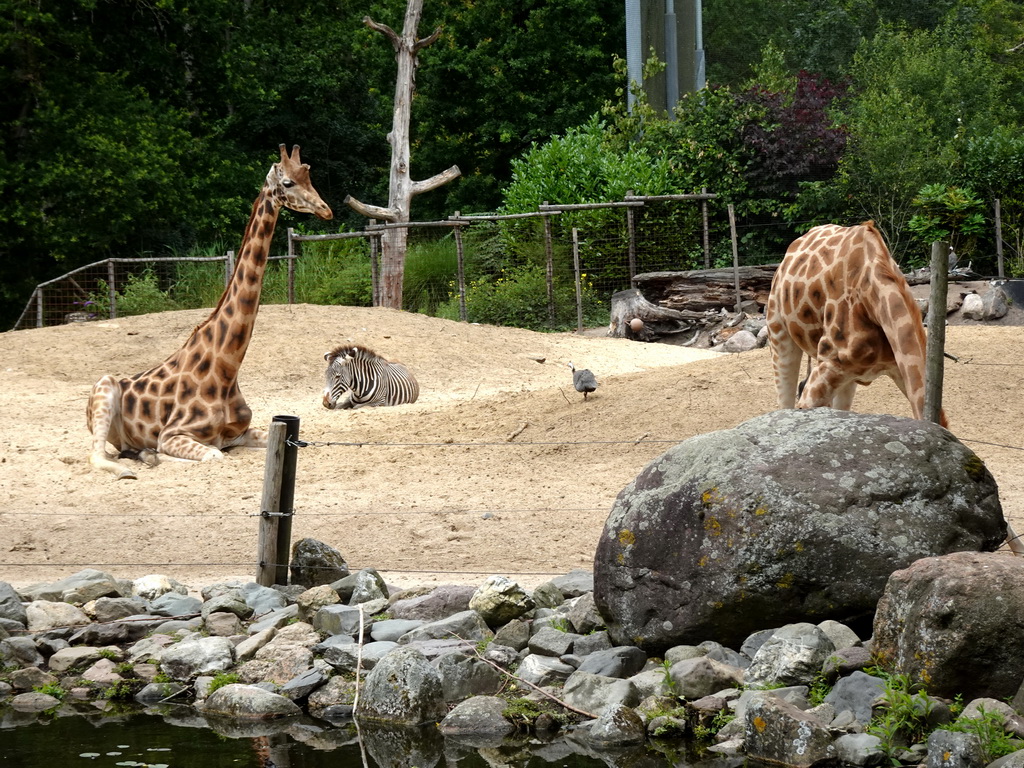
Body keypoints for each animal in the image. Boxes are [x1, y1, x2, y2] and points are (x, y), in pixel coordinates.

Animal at [86, 144, 331, 479]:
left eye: (310, 179)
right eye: (288, 183)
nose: (326, 210)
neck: (227, 368)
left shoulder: (241, 432)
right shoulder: (173, 434)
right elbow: (212, 455)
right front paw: (154, 455)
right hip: (104, 388)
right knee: (99, 454)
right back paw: (136, 461)